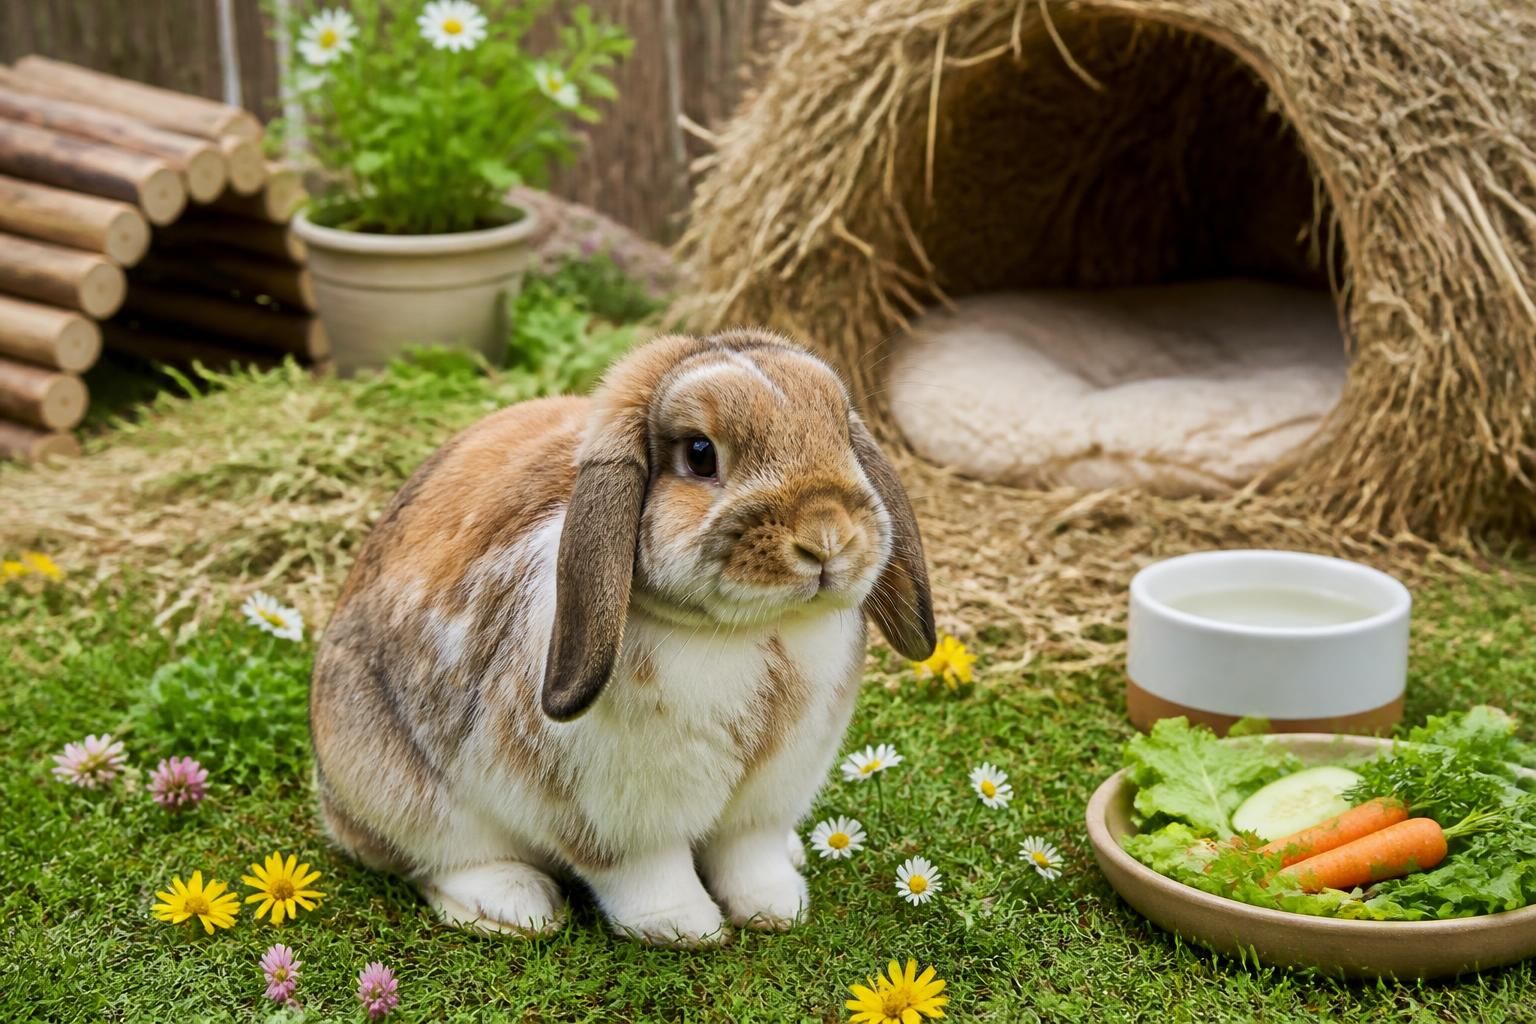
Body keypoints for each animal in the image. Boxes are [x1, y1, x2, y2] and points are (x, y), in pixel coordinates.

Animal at [309, 329, 935, 946]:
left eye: (841, 435)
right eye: (700, 454)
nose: (827, 535)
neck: (756, 630)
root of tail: (334, 803)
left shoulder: (766, 801)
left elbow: (749, 856)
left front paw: (777, 908)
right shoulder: (620, 817)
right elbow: (646, 873)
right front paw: (686, 928)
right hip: (406, 793)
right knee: (440, 858)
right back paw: (514, 908)